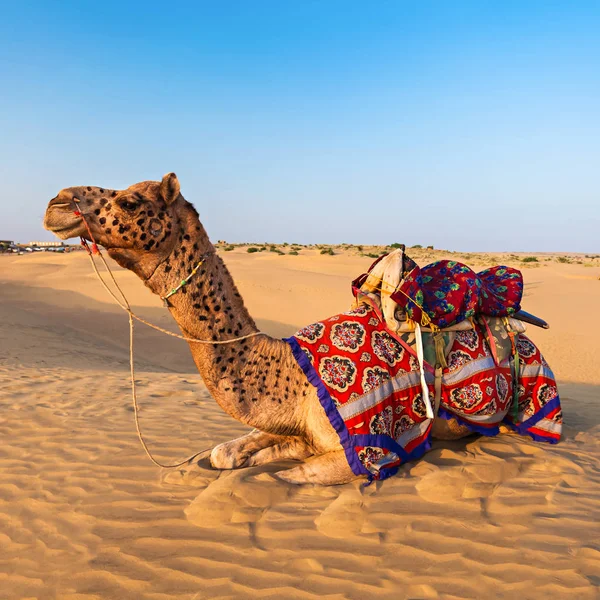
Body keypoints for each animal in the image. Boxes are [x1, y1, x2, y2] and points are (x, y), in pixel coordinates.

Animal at [43, 171, 474, 486]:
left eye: (130, 201)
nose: (55, 203)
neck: (293, 375)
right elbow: (224, 454)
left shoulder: (369, 452)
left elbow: (290, 475)